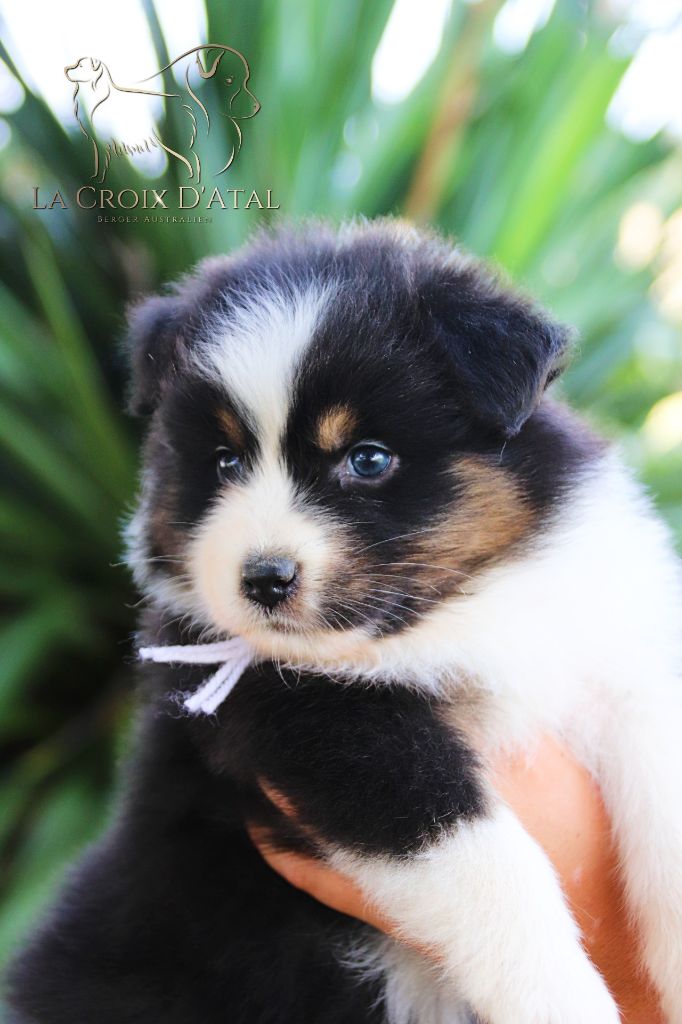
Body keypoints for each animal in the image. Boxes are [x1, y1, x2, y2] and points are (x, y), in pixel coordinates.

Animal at [6, 220, 679, 1019]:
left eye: (367, 459)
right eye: (224, 462)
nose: (264, 578)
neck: (447, 612)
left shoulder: (614, 653)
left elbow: (662, 783)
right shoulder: (320, 725)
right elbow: (480, 860)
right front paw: (558, 997)